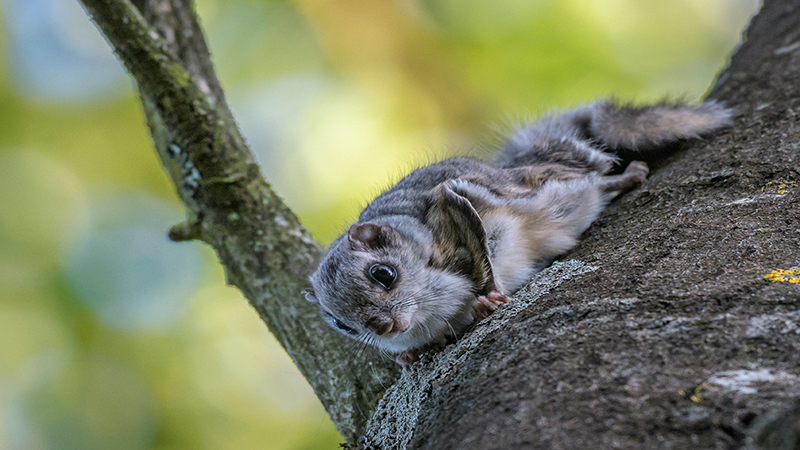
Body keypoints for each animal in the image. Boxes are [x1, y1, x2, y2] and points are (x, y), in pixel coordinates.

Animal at [302, 99, 732, 366]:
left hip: (549, 183)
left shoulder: (452, 208)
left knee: (594, 176)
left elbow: (480, 260)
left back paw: (625, 177)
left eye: (384, 274)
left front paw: (485, 301)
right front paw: (407, 356)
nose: (383, 328)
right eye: (340, 324)